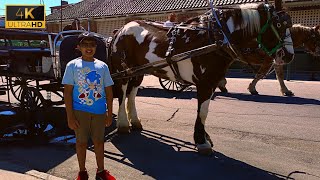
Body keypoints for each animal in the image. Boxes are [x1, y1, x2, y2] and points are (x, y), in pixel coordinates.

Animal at [109, 2, 294, 155]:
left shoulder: (211, 83)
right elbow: (203, 112)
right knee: (123, 93)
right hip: (122, 71)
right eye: (279, 24)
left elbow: (204, 111)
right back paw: (123, 124)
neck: (217, 37)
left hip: (137, 72)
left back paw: (135, 121)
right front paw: (202, 142)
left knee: (132, 94)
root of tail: (121, 30)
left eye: (289, 25)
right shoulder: (205, 84)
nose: (289, 56)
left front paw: (205, 137)